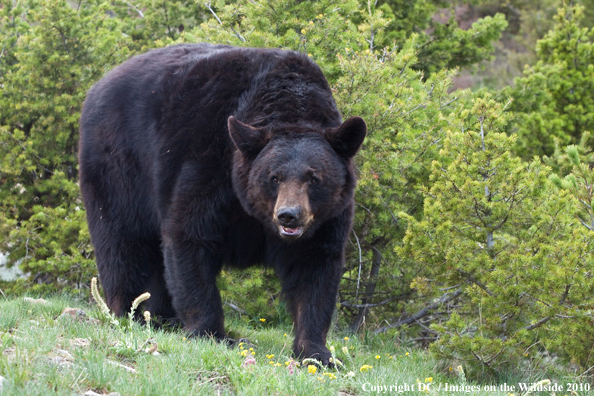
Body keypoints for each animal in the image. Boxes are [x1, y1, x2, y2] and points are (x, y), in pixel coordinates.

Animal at [78, 44, 366, 366]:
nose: (289, 216)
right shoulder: (210, 164)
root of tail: (98, 84)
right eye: (274, 177)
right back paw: (130, 312)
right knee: (123, 240)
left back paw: (163, 317)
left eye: (313, 178)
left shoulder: (327, 219)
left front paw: (316, 352)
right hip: (119, 166)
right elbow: (190, 236)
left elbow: (315, 269)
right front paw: (210, 332)